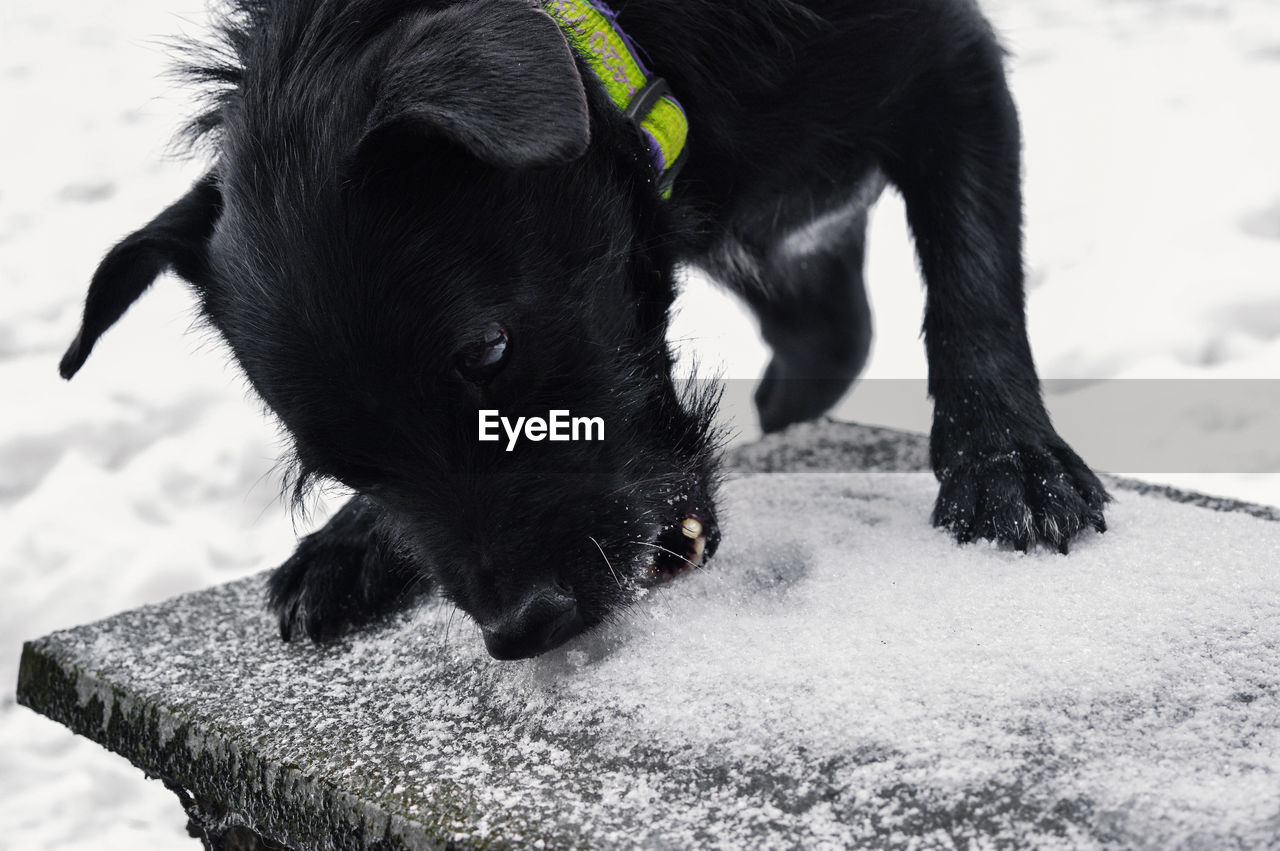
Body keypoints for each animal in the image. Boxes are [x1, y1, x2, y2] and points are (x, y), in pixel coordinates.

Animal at [60, 0, 1105, 655]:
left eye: (488, 350)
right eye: (343, 468)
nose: (522, 629)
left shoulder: (950, 66)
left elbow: (972, 282)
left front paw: (1007, 459)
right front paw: (351, 542)